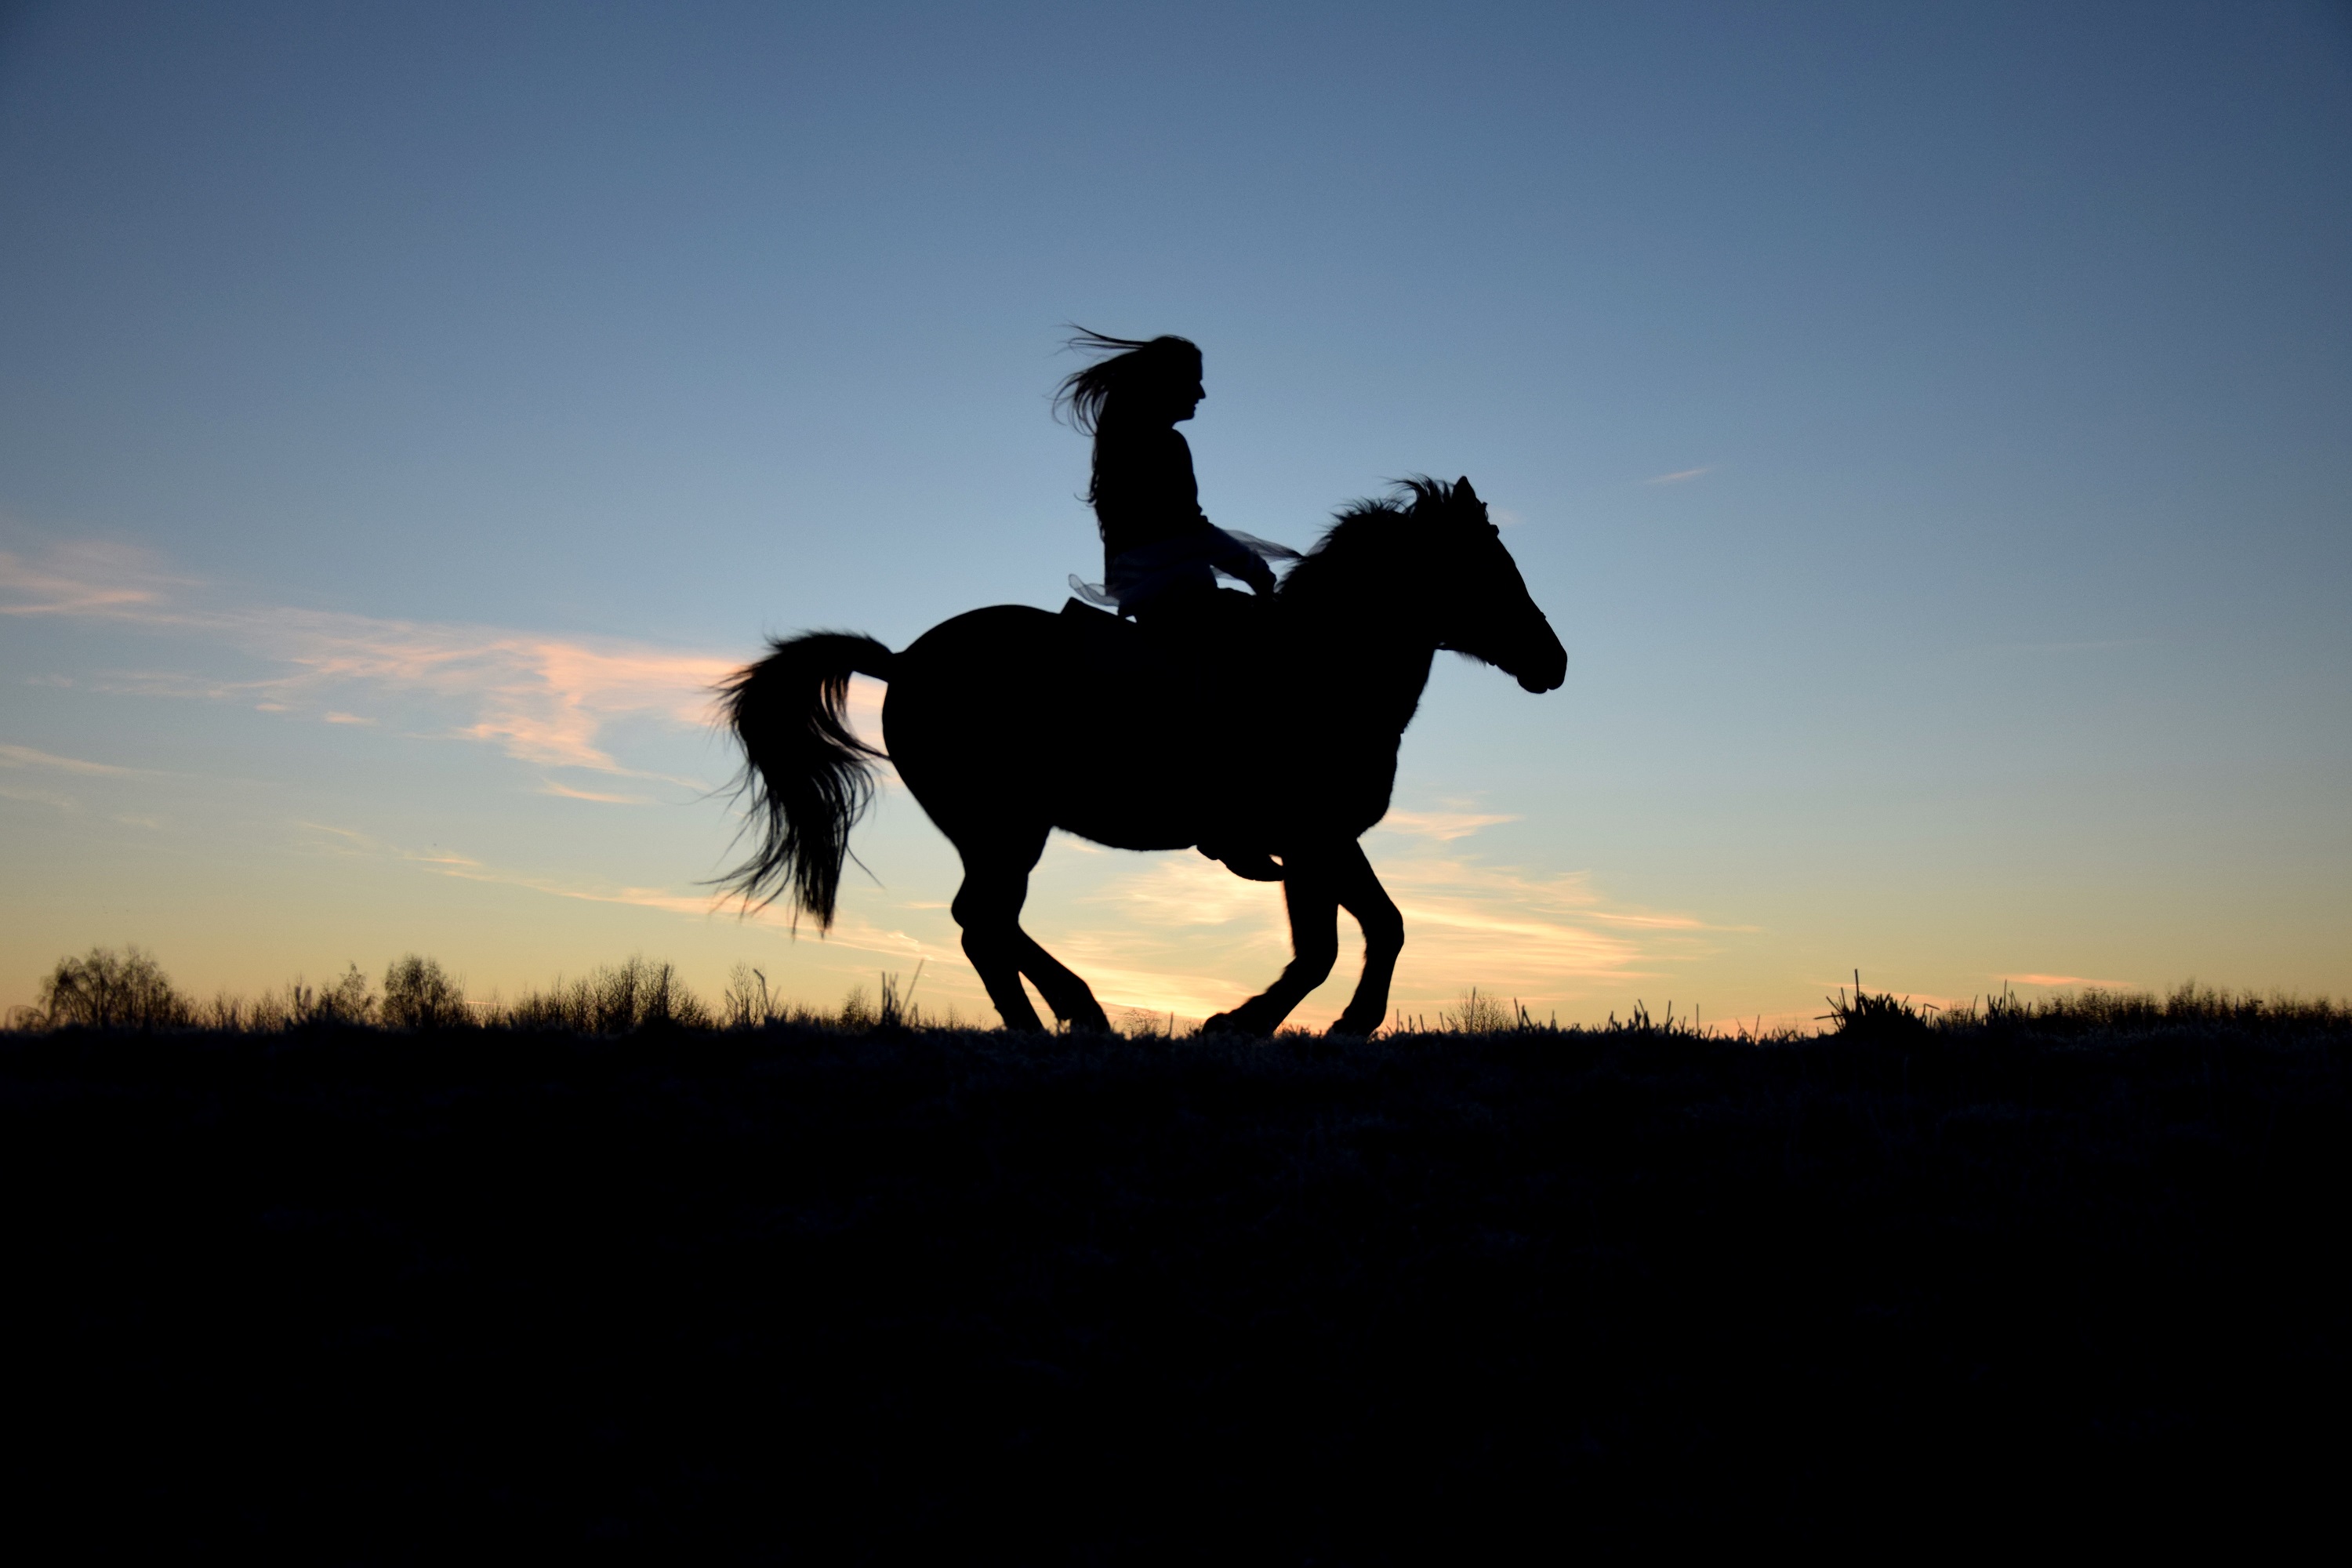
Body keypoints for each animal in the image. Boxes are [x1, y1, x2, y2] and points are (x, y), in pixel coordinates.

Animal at [715, 479, 1562, 1044]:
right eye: (1485, 568)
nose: (1552, 663)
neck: (1318, 669)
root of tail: (902, 662)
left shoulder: (1322, 842)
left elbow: (1369, 930)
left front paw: (1328, 1023)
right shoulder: (1311, 837)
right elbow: (1334, 943)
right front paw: (1252, 1022)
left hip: (1000, 831)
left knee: (986, 922)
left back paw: (1064, 1016)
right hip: (1005, 827)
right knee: (982, 921)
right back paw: (1065, 1018)